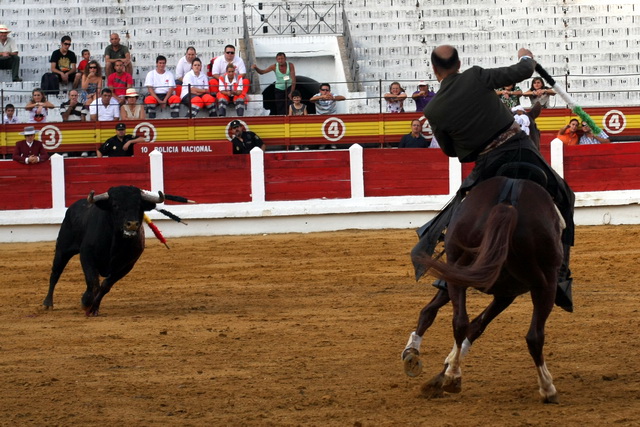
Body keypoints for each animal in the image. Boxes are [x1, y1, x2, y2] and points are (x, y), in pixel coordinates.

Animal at [43, 186, 165, 316]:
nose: (132, 224)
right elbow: (93, 283)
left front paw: (94, 308)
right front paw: (86, 303)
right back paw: (47, 303)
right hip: (62, 250)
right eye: (115, 205)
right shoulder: (87, 256)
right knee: (56, 273)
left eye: (140, 205)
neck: (117, 242)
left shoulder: (127, 265)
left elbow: (105, 286)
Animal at [402, 176, 564, 402]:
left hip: (464, 269)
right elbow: (473, 324)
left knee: (459, 321)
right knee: (533, 336)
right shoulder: (505, 293)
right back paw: (547, 387)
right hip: (543, 284)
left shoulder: (496, 289)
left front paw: (441, 371)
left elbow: (470, 324)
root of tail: (507, 203)